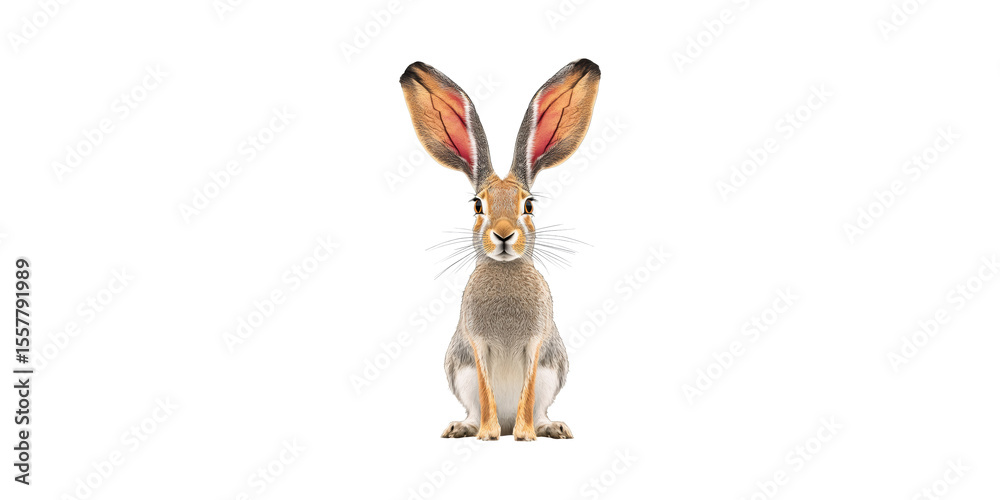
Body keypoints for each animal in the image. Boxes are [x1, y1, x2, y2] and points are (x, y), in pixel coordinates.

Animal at [400, 59, 600, 440]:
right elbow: (485, 388)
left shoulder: (536, 344)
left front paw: (524, 435)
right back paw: (464, 427)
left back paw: (550, 428)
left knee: (539, 407)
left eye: (529, 205)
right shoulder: (476, 344)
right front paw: (488, 434)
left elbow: (528, 390)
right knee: (475, 407)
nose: (504, 234)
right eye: (478, 205)